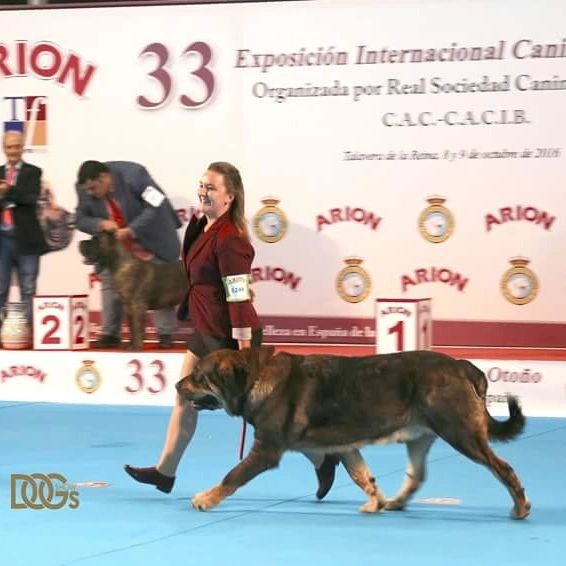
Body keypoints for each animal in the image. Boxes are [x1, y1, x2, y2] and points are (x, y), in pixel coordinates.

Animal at [176, 344, 532, 520]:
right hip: (420, 436)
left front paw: (206, 499)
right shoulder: (344, 447)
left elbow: (232, 476)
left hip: (462, 434)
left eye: (199, 376)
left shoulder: (265, 450)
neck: (255, 379)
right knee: (417, 475)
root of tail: (463, 365)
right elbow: (363, 476)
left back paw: (520, 508)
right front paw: (376, 502)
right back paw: (396, 502)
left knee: (503, 469)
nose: (178, 385)